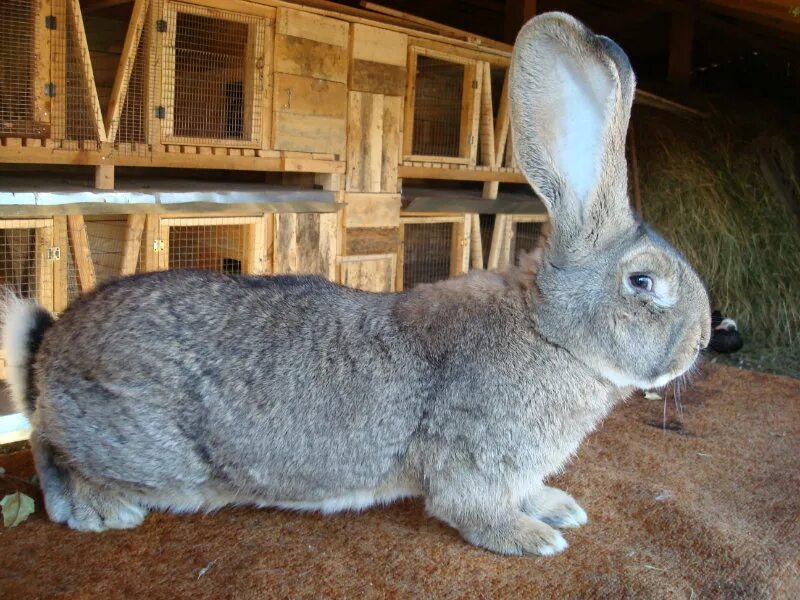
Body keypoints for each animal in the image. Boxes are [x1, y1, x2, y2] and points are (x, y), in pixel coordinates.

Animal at [3, 12, 708, 556]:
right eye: (643, 281)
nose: (702, 340)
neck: (549, 332)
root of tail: (47, 351)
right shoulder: (475, 462)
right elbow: (474, 509)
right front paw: (536, 538)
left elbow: (529, 490)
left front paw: (558, 506)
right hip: (137, 448)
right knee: (46, 445)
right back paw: (97, 511)